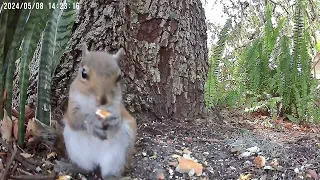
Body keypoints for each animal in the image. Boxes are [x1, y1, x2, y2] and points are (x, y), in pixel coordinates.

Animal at [56, 43, 136, 179]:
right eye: (83, 73)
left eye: (119, 77)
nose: (103, 100)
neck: (95, 107)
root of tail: (97, 159)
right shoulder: (72, 105)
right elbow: (76, 119)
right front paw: (92, 123)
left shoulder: (117, 105)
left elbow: (120, 116)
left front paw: (115, 120)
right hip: (75, 146)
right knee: (87, 168)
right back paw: (71, 167)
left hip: (119, 151)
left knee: (108, 172)